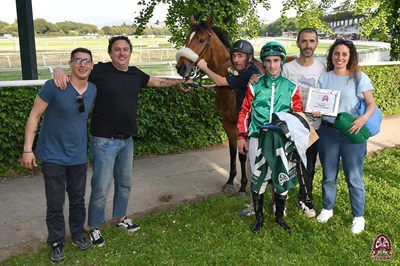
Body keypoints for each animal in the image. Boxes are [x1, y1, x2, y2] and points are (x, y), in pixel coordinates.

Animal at [176, 15, 264, 197]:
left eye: (201, 39)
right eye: (187, 38)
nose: (181, 67)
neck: (230, 86)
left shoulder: (242, 125)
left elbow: (243, 154)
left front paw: (243, 186)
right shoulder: (227, 123)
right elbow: (232, 151)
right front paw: (230, 181)